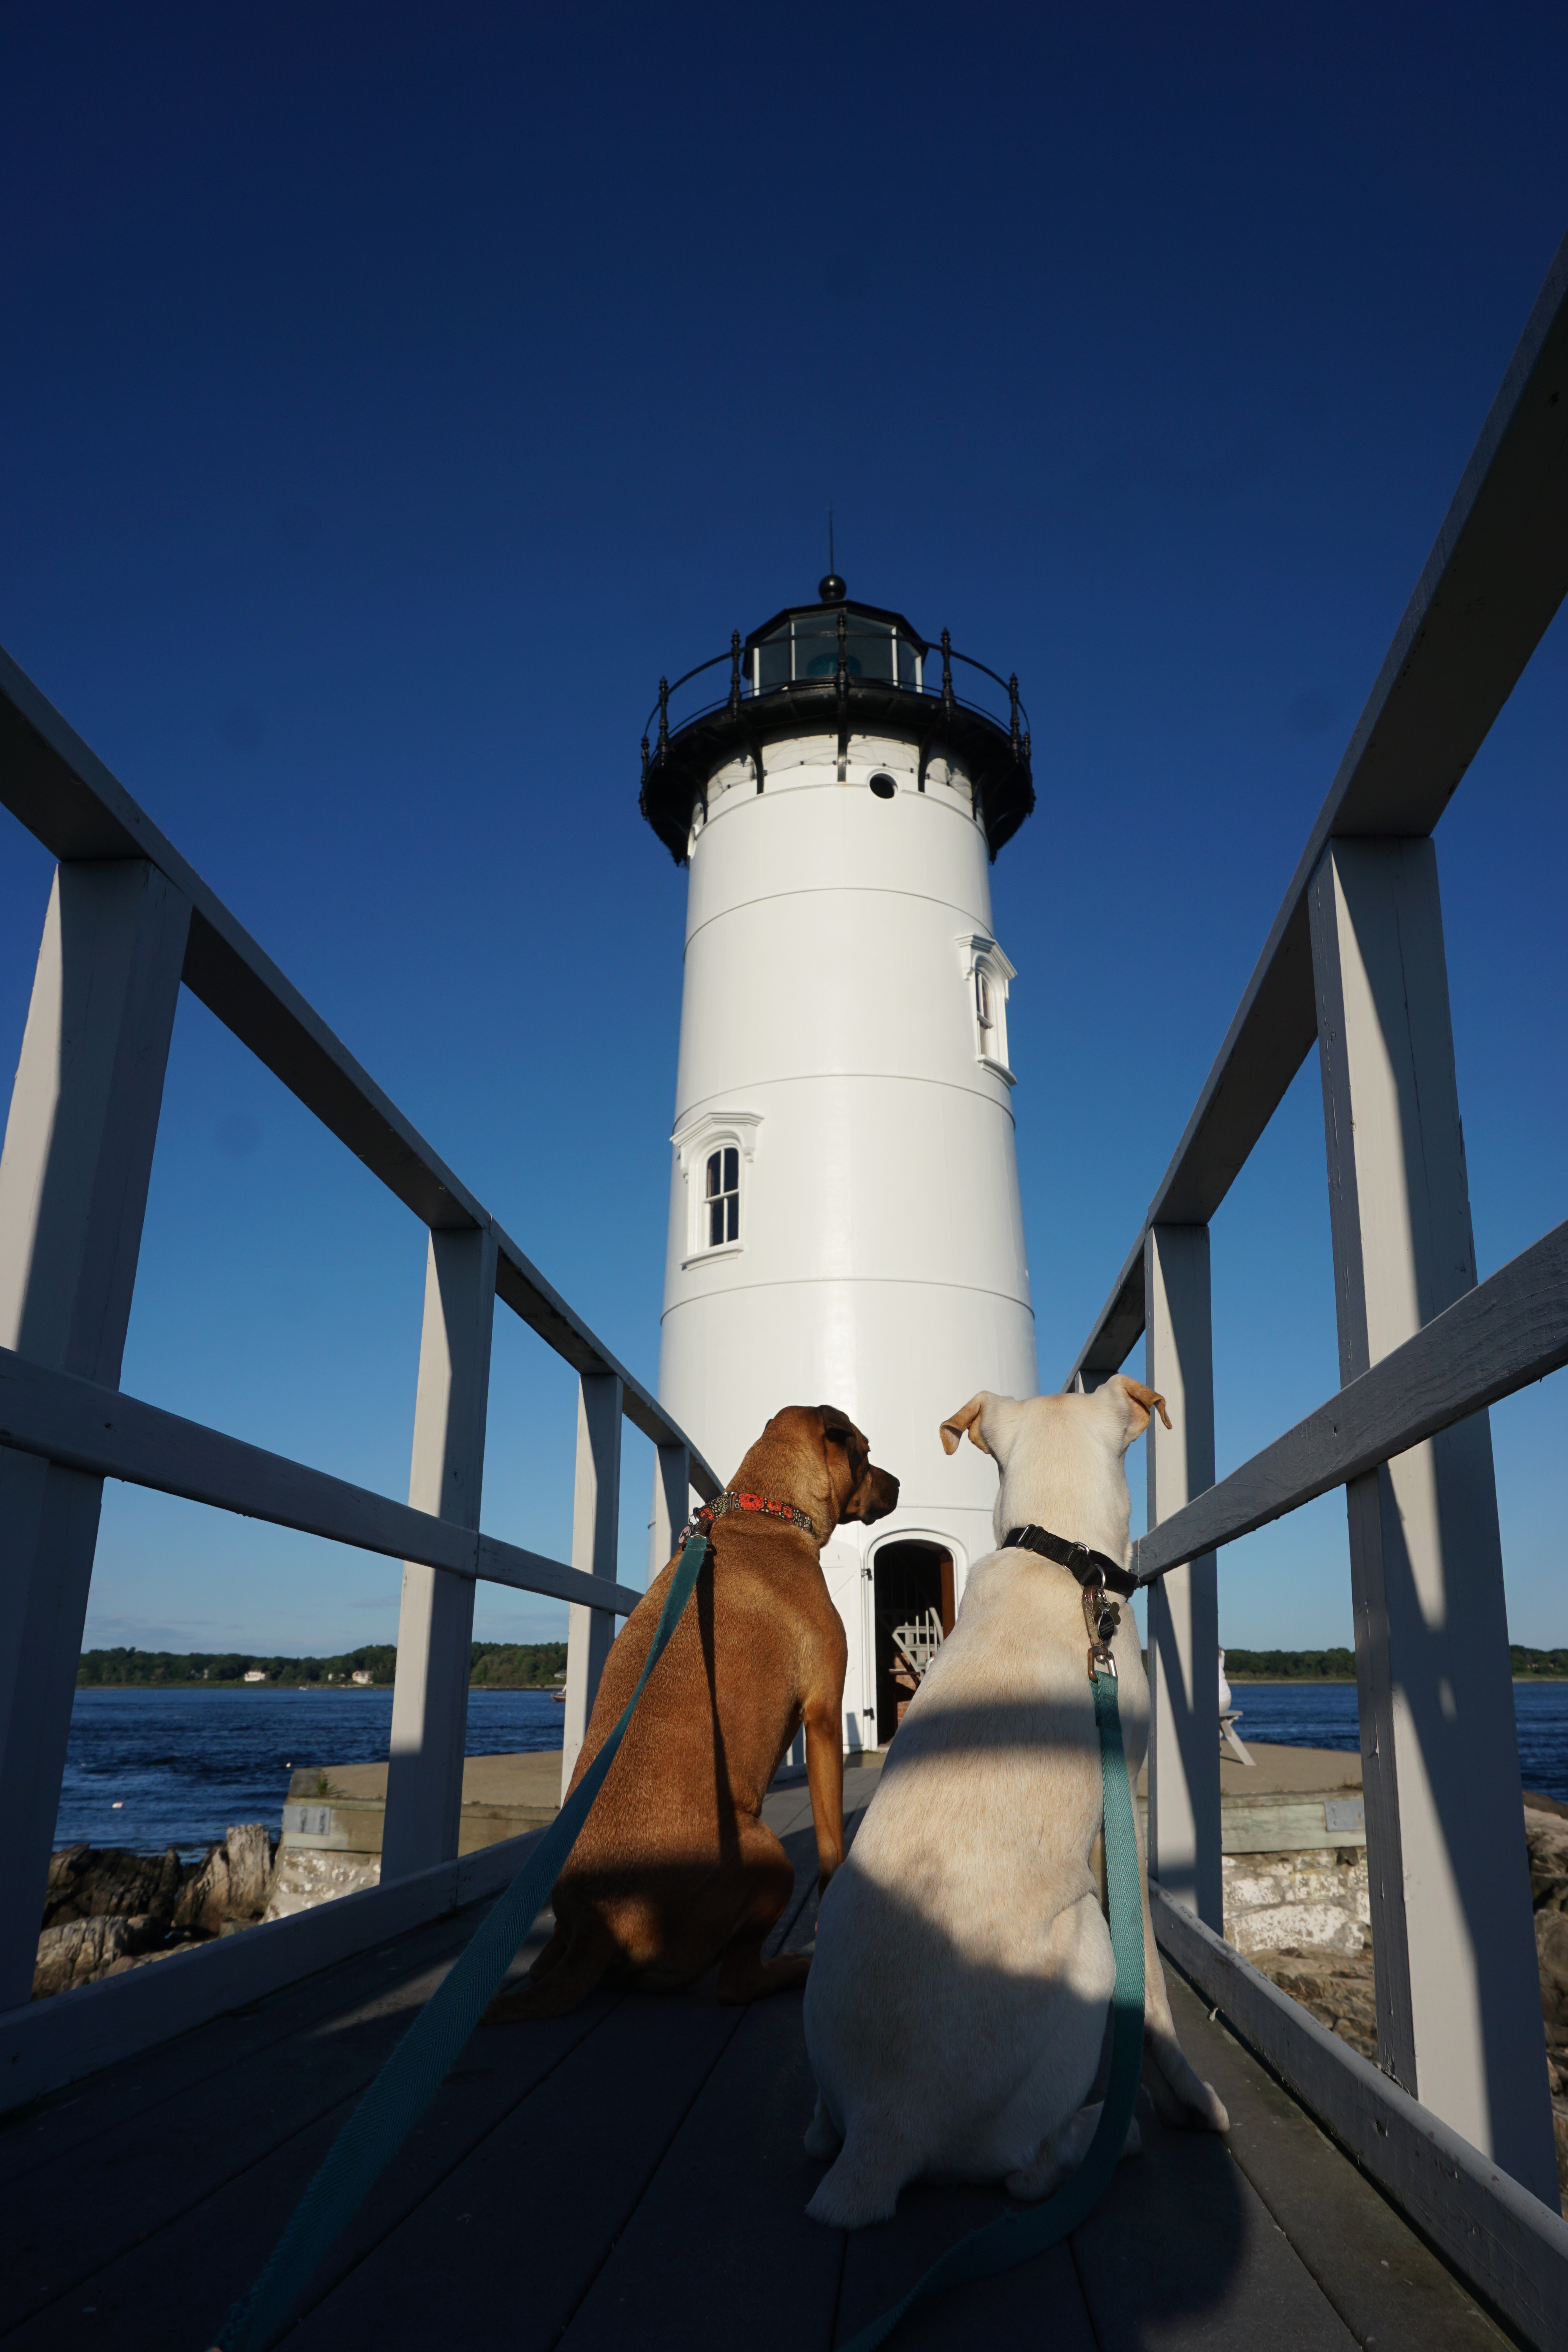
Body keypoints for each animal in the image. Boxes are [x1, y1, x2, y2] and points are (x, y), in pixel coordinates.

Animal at [483, 1404, 899, 2021]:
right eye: (866, 1453)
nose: (898, 1484)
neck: (767, 1511)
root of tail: (599, 1925)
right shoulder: (824, 1713)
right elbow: (831, 1846)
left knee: (545, 1967)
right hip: (770, 1857)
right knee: (734, 1982)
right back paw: (789, 1969)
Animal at [799, 1377, 1228, 2226]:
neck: (1058, 1559)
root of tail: (884, 2127)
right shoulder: (1121, 1808)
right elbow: (1155, 1991)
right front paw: (1188, 2099)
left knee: (822, 2132)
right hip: (1086, 1939)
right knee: (1028, 2172)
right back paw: (1109, 2134)